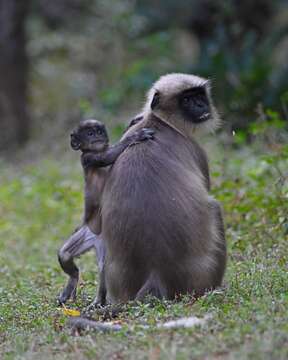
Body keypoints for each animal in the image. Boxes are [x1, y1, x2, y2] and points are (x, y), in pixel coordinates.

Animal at [57, 119, 154, 306]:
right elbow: (107, 156)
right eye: (89, 134)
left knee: (104, 266)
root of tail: (98, 238)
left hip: (104, 241)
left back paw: (99, 299)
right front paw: (135, 136)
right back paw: (75, 280)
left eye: (99, 131)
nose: (97, 136)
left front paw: (133, 123)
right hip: (88, 232)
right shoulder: (88, 158)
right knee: (64, 255)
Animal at [84, 73, 226, 304]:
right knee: (215, 209)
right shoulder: (196, 150)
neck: (159, 122)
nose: (200, 105)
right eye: (186, 100)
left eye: (199, 95)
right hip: (197, 276)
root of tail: (155, 273)